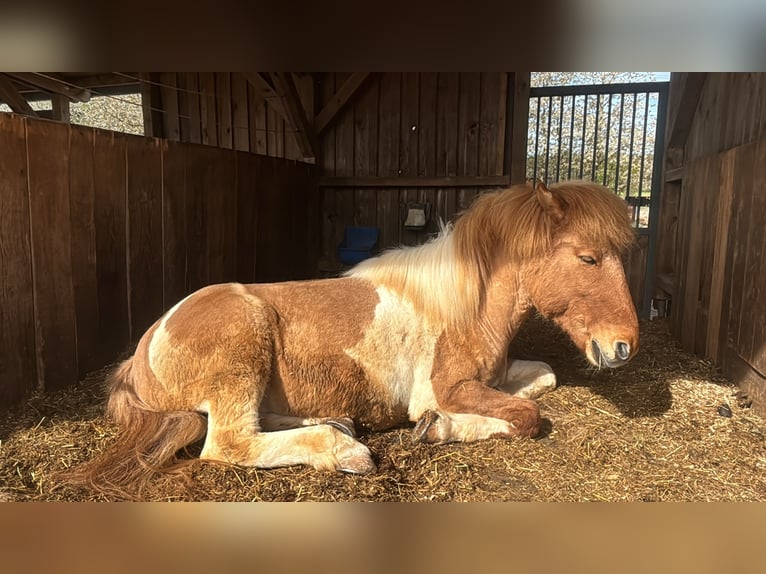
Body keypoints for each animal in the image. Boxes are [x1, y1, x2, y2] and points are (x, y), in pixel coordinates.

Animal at [68, 180, 638, 494]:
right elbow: (526, 416)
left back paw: (337, 423)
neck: (463, 306)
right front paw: (436, 427)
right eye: (588, 258)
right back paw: (343, 449)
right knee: (229, 442)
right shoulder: (449, 388)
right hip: (243, 347)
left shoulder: (500, 374)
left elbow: (544, 377)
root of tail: (143, 349)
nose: (623, 347)